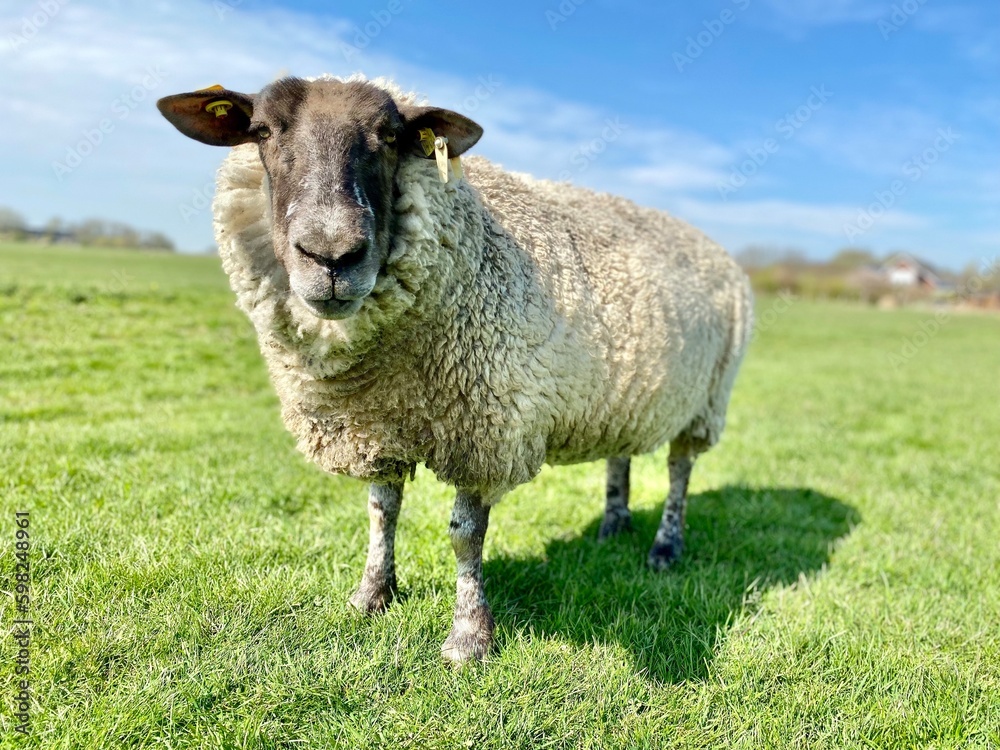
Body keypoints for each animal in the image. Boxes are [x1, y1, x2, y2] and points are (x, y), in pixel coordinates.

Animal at [156, 74, 753, 663]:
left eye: (391, 137)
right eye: (261, 131)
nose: (331, 257)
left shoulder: (485, 426)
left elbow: (465, 533)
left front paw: (469, 636)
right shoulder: (377, 424)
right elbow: (381, 511)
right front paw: (372, 595)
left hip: (708, 399)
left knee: (679, 471)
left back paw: (665, 547)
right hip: (621, 394)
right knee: (619, 454)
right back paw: (613, 525)